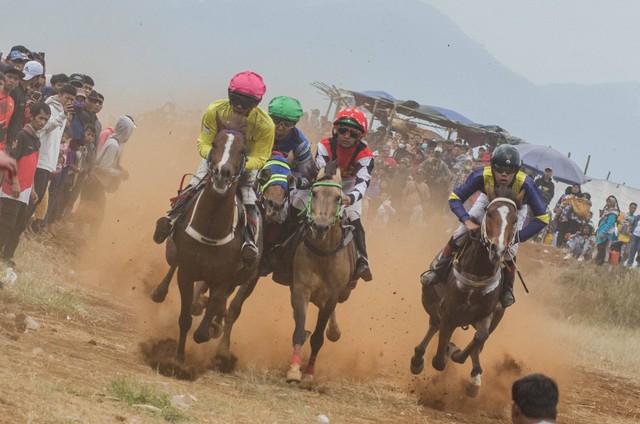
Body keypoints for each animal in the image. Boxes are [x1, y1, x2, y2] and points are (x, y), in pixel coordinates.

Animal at [150, 114, 260, 370]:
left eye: (243, 151)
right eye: (216, 144)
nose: (222, 173)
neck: (211, 227)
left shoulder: (223, 279)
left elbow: (204, 326)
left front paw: (210, 328)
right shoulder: (187, 273)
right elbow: (184, 318)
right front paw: (178, 359)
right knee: (172, 264)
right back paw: (160, 291)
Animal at [284, 160, 356, 384]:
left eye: (338, 197)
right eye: (314, 193)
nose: (320, 227)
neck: (323, 254)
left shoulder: (332, 296)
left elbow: (318, 337)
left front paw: (309, 372)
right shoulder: (301, 289)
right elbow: (299, 329)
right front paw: (294, 369)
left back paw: (334, 331)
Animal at [410, 186, 524, 398]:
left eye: (514, 220)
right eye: (489, 213)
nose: (498, 249)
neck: (477, 271)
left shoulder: (487, 314)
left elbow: (480, 337)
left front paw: (461, 359)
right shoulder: (448, 312)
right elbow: (438, 360)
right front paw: (447, 350)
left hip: (495, 317)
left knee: (480, 341)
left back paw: (474, 376)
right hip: (429, 298)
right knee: (434, 324)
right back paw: (418, 358)